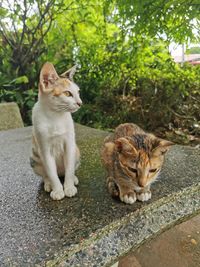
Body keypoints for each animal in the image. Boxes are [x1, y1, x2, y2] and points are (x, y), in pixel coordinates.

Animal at [30, 62, 82, 201]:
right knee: (47, 174)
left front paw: (69, 187)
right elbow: (51, 173)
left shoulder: (69, 144)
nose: (80, 103)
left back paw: (74, 179)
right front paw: (58, 190)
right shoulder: (44, 149)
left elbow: (69, 169)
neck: (55, 117)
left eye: (78, 92)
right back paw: (48, 184)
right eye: (67, 94)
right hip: (34, 158)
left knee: (68, 170)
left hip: (77, 151)